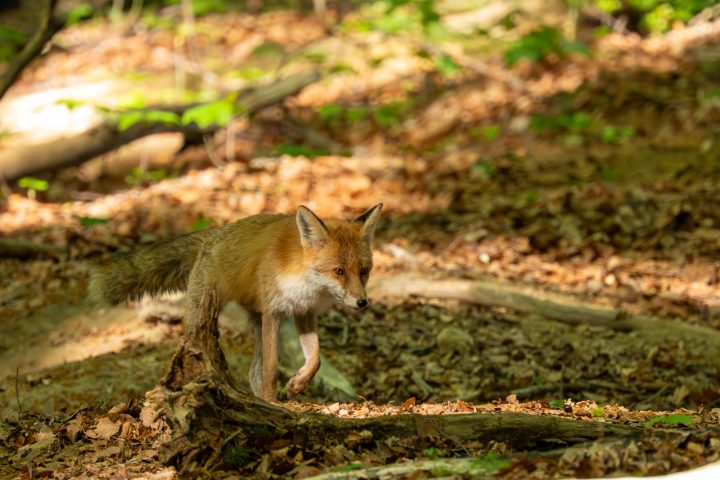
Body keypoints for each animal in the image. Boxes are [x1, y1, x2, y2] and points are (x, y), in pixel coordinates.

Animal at [89, 203, 383, 402]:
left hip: (255, 322)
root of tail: (212, 235)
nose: (362, 302)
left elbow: (316, 359)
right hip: (206, 316)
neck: (306, 282)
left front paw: (299, 383)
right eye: (339, 271)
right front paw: (276, 403)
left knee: (253, 372)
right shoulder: (273, 312)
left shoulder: (304, 312)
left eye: (364, 271)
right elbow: (272, 369)